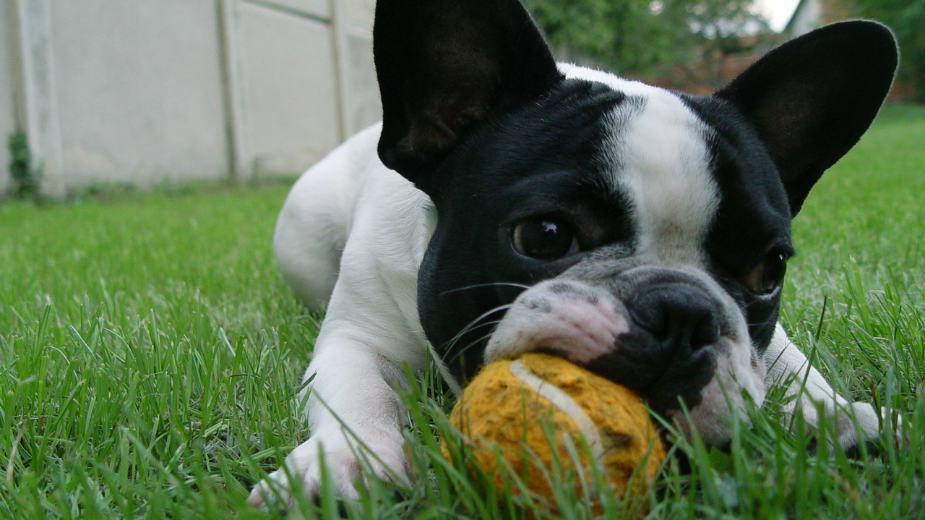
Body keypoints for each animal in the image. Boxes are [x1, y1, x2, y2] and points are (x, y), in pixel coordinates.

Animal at [245, 0, 896, 506]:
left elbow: (788, 364)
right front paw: (346, 464)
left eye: (769, 270)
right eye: (544, 236)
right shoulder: (359, 337)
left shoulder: (764, 337)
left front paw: (832, 415)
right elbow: (359, 395)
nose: (681, 311)